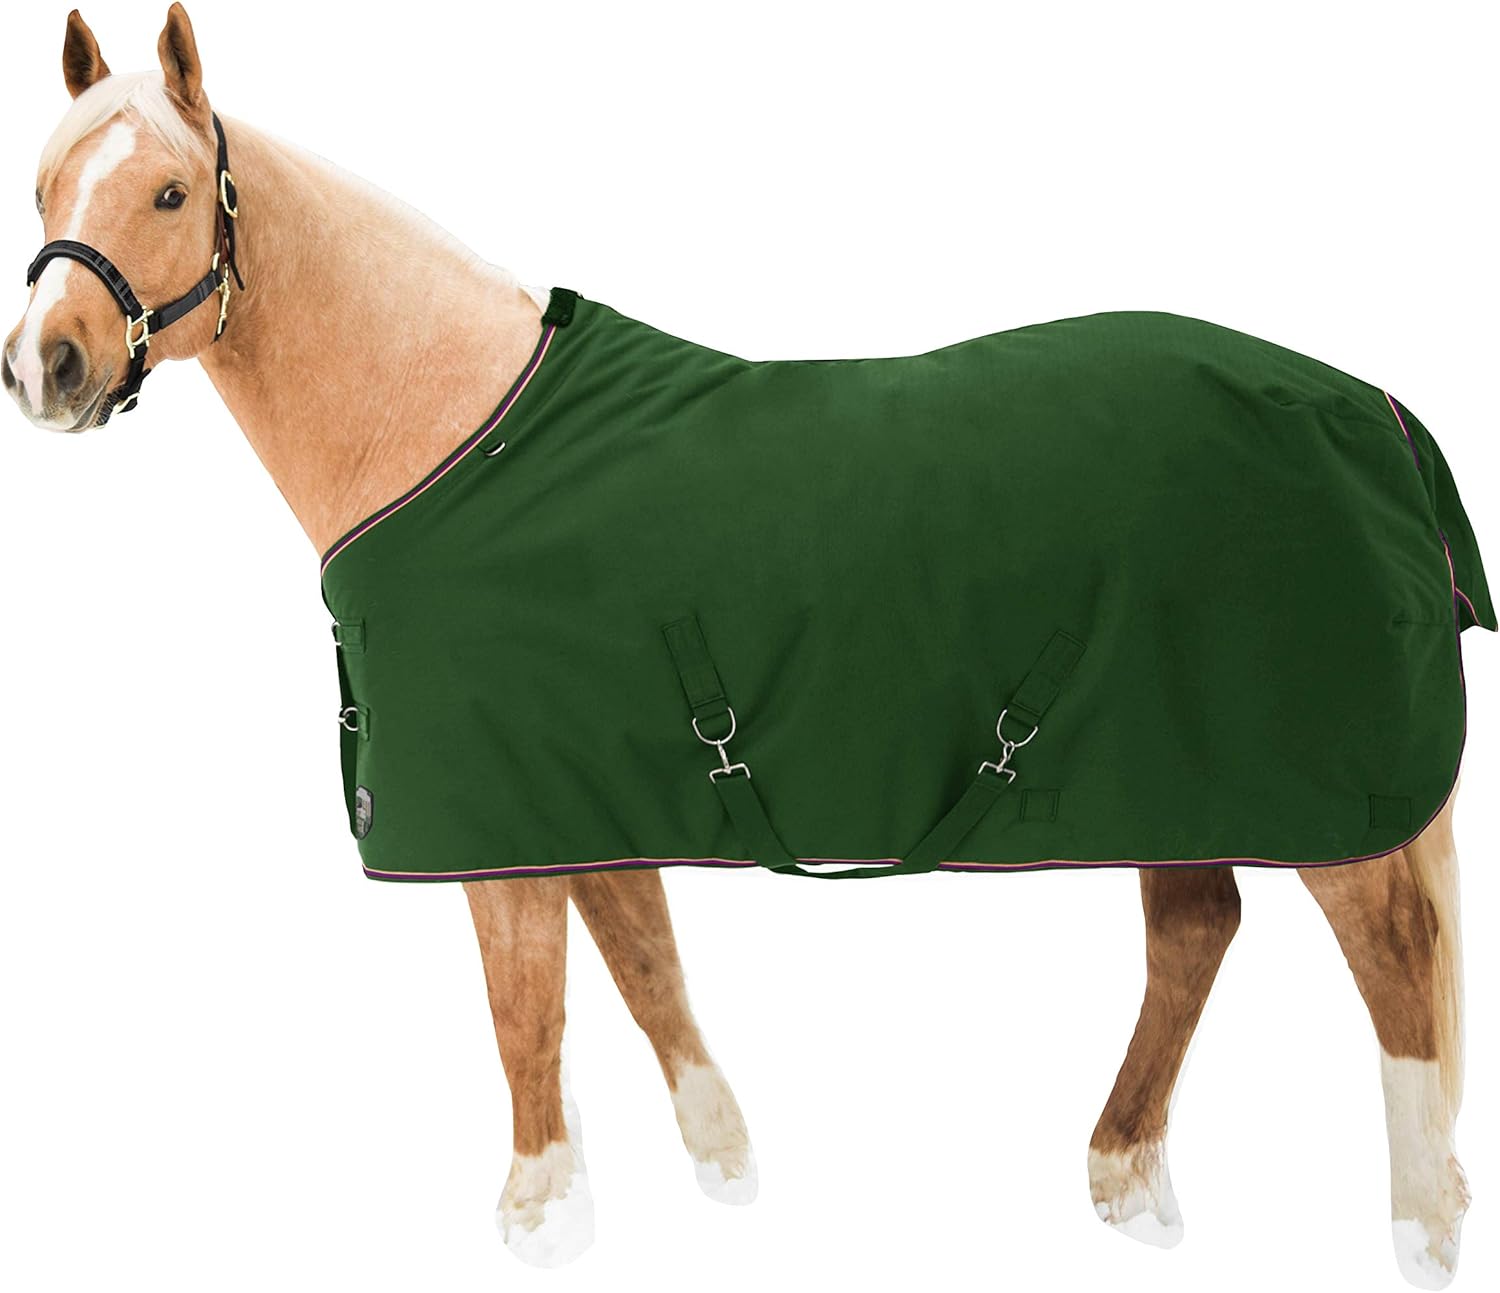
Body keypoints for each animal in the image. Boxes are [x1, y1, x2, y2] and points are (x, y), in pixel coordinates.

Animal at [2, 8, 1480, 1285]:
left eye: (172, 194)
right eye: (43, 188)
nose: (46, 369)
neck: (456, 432)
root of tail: (1376, 409)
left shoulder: (500, 808)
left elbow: (526, 996)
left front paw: (541, 1217)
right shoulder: (585, 778)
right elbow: (643, 956)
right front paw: (722, 1166)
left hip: (1310, 783)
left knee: (1395, 952)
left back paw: (1423, 1231)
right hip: (1168, 768)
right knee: (1195, 930)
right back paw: (1125, 1177)